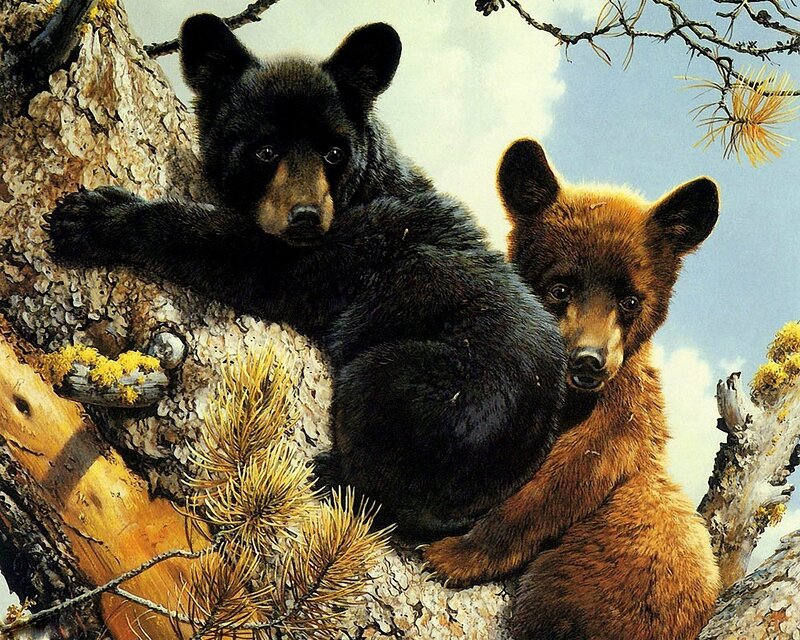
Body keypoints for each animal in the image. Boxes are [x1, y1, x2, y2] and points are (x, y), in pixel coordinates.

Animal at [46, 17, 567, 540]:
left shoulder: (348, 250)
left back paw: (331, 472)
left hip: (418, 386)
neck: (365, 192)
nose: (306, 217)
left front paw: (94, 218)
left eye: (333, 152)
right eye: (265, 150)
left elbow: (229, 249)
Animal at [424, 139, 721, 639]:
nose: (589, 360)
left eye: (630, 299)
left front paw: (450, 556)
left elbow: (558, 485)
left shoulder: (622, 419)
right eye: (561, 288)